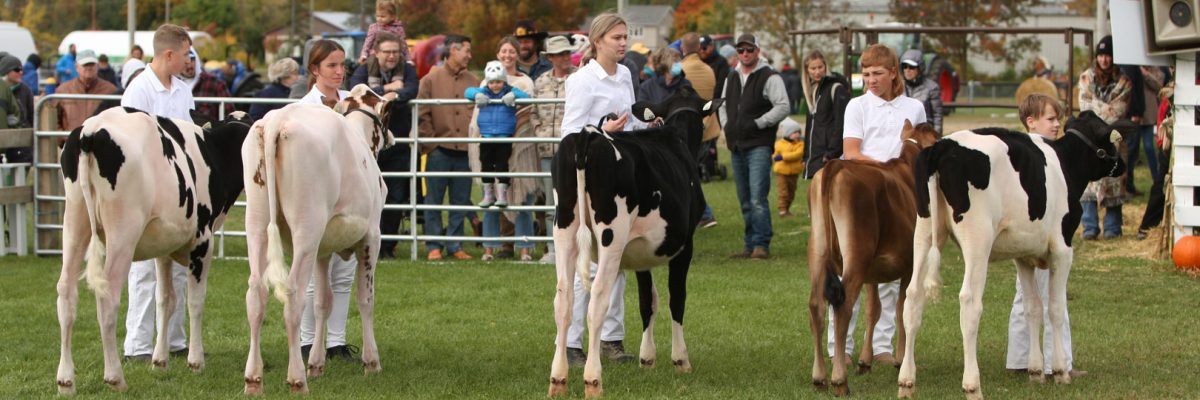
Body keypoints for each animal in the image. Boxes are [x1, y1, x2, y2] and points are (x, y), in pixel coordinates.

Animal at [57, 106, 254, 391]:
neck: (214, 152)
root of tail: (91, 129)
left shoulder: (163, 248)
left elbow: (165, 300)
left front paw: (160, 361)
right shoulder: (202, 242)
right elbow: (195, 301)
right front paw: (196, 361)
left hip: (74, 222)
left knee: (66, 293)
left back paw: (65, 380)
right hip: (123, 233)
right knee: (107, 296)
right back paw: (115, 377)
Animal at [241, 84, 391, 391]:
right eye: (388, 113)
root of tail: (278, 119)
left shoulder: (324, 248)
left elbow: (323, 302)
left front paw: (317, 364)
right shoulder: (372, 236)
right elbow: (365, 298)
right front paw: (371, 362)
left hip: (257, 223)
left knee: (256, 292)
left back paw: (253, 379)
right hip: (306, 227)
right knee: (293, 294)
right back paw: (297, 379)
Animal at [547, 87, 715, 396]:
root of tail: (588, 134)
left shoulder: (640, 253)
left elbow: (647, 301)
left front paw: (647, 359)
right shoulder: (685, 245)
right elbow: (676, 298)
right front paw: (680, 360)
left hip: (564, 228)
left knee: (563, 299)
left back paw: (558, 380)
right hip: (610, 237)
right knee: (597, 300)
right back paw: (593, 380)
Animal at [902, 109, 1123, 398]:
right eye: (1113, 138)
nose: (1122, 165)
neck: (1065, 164)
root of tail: (943, 146)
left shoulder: (1023, 256)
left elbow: (1032, 308)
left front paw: (1036, 371)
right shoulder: (1063, 250)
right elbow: (1055, 308)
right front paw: (1060, 372)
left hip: (924, 231)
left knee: (913, 297)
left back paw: (906, 381)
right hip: (978, 239)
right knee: (969, 302)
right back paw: (972, 385)